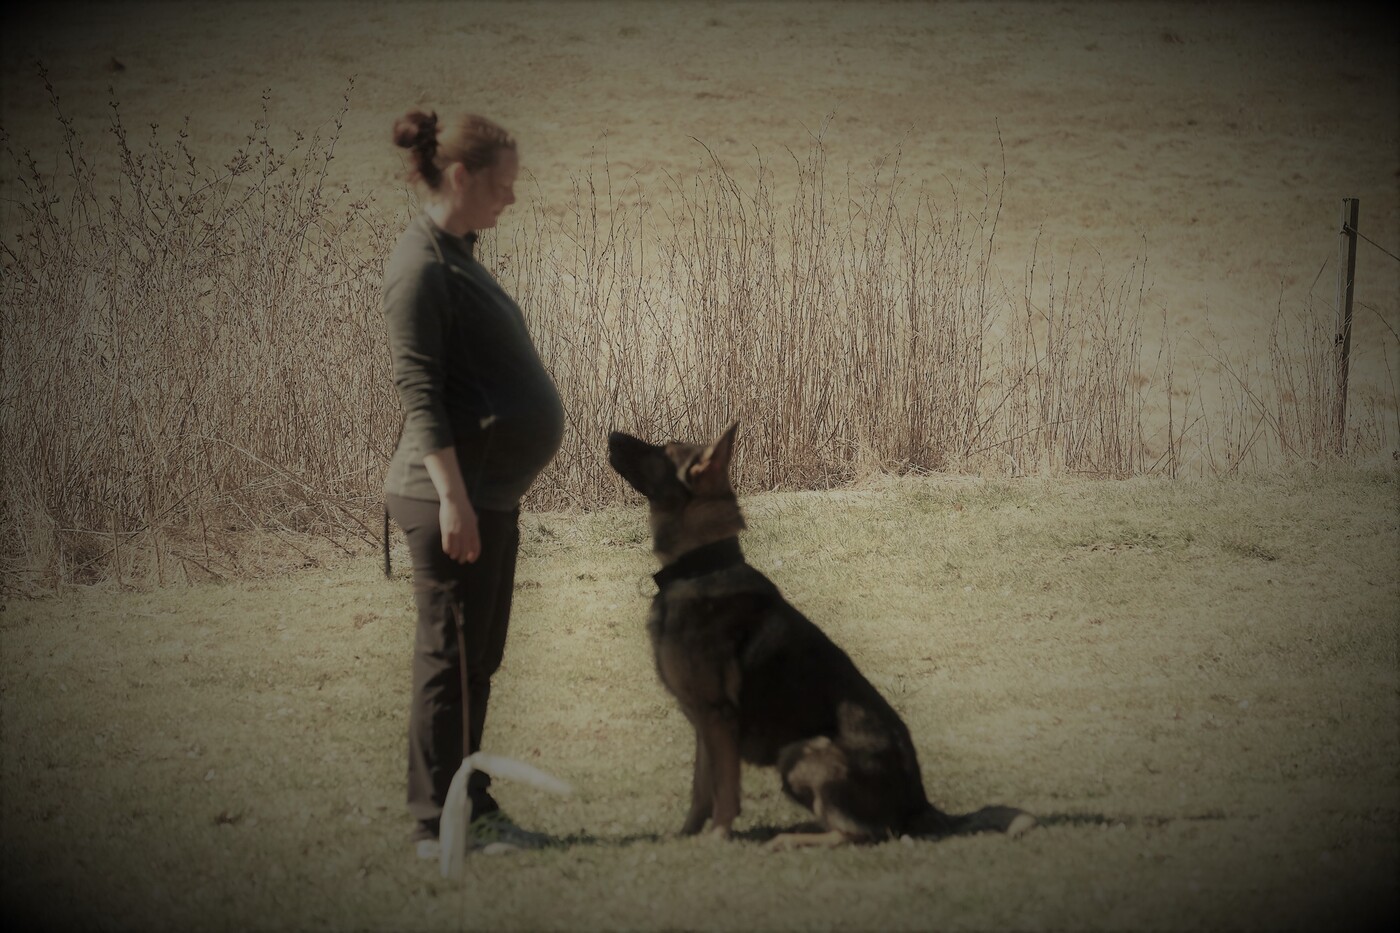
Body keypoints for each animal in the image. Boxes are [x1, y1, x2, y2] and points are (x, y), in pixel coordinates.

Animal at [607, 422, 1035, 850]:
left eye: (663, 450)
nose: (611, 434)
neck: (700, 566)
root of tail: (919, 804)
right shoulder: (702, 723)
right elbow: (700, 790)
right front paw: (684, 836)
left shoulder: (717, 718)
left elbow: (725, 790)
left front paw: (716, 839)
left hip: (800, 753)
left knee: (863, 833)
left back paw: (790, 839)